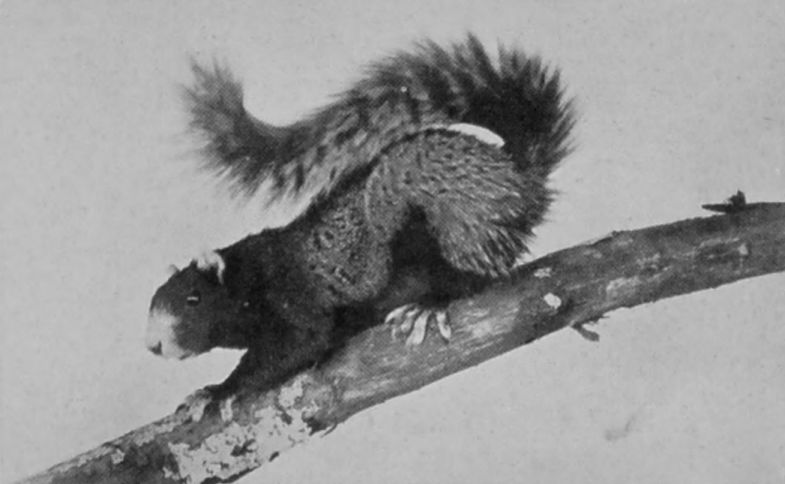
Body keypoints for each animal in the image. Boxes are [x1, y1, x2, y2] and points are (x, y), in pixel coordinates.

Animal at [146, 34, 574, 407]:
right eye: (153, 300)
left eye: (194, 299)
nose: (153, 346)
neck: (253, 273)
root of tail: (518, 180)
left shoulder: (296, 299)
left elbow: (299, 345)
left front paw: (220, 392)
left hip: (438, 231)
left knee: (467, 277)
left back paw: (429, 305)